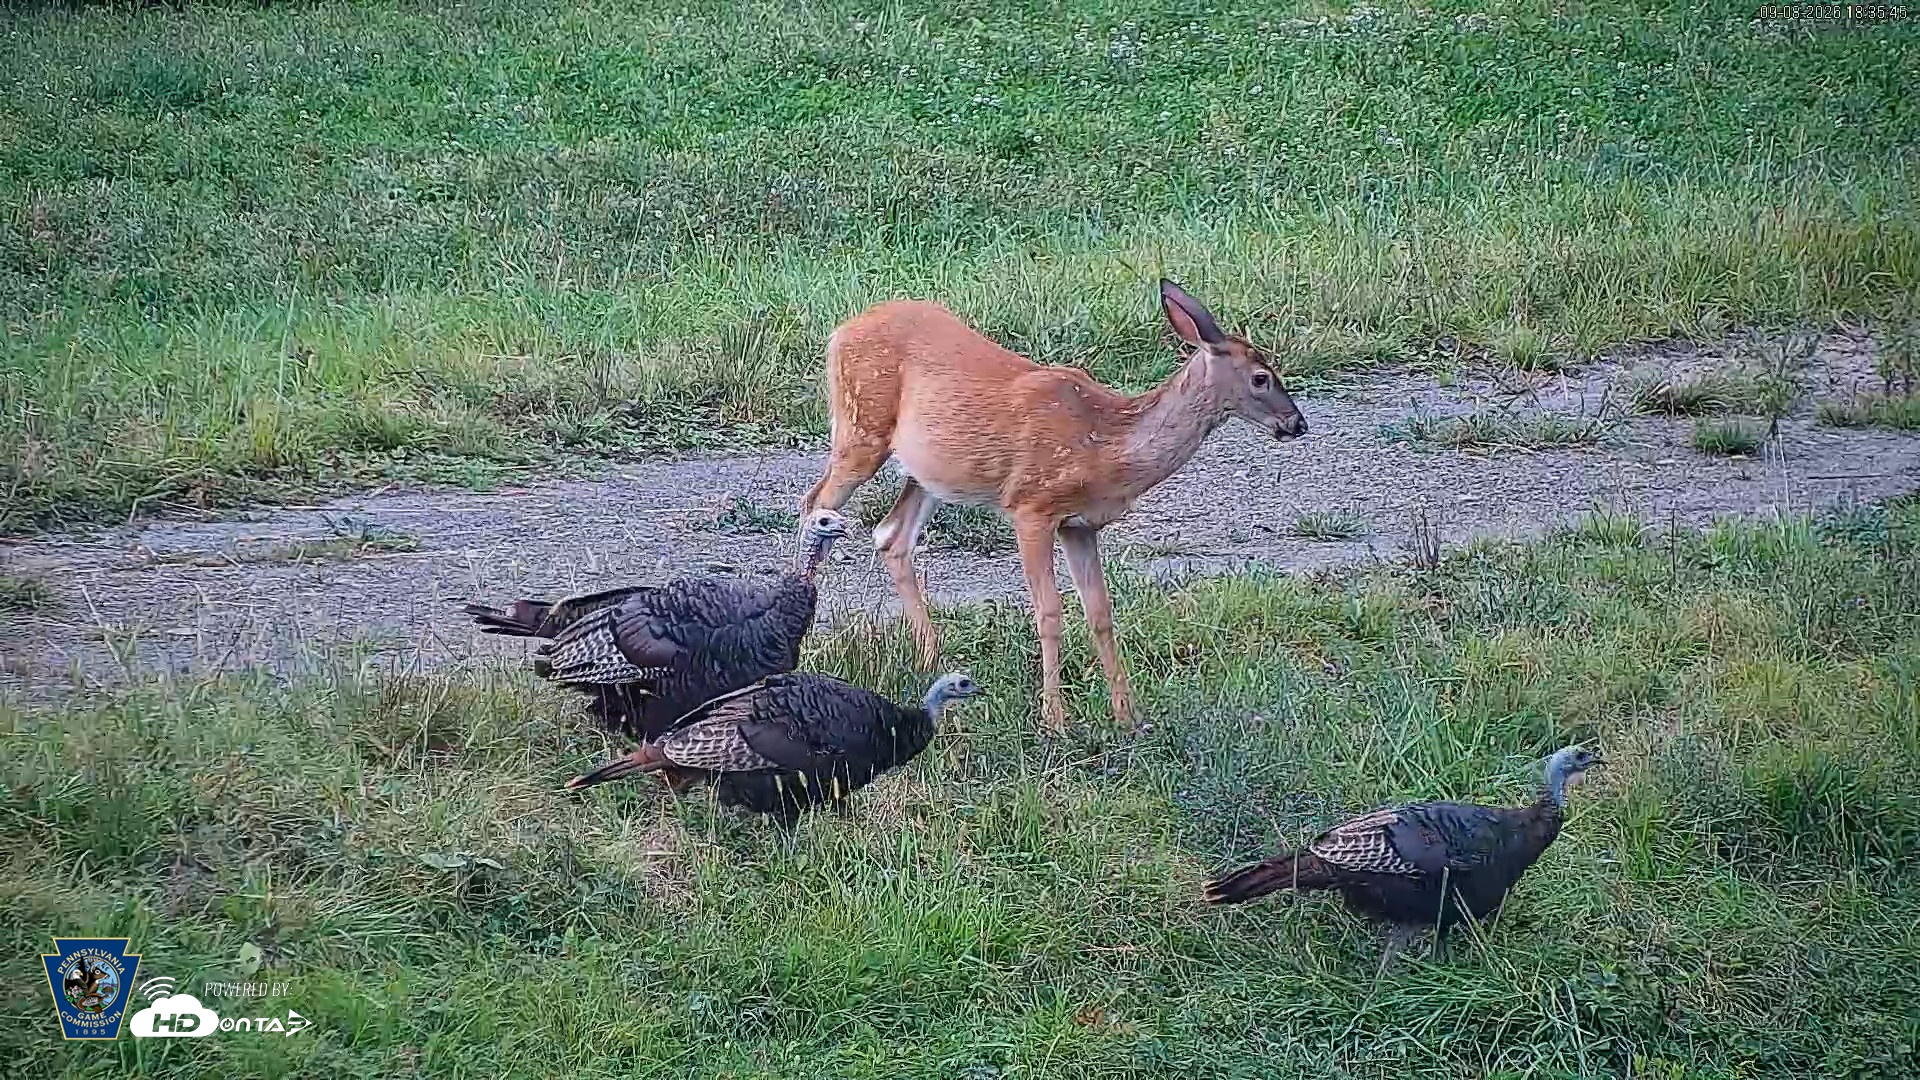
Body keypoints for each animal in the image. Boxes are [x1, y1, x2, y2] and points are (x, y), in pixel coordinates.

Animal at [801, 279, 1308, 734]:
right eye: (1261, 377)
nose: (1297, 424)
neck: (1106, 445)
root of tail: (840, 331)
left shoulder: (1079, 525)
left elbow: (1100, 612)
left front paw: (1128, 718)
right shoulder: (1032, 507)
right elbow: (1050, 613)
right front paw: (1055, 721)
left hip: (930, 470)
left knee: (891, 535)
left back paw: (933, 659)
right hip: (860, 428)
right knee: (814, 504)